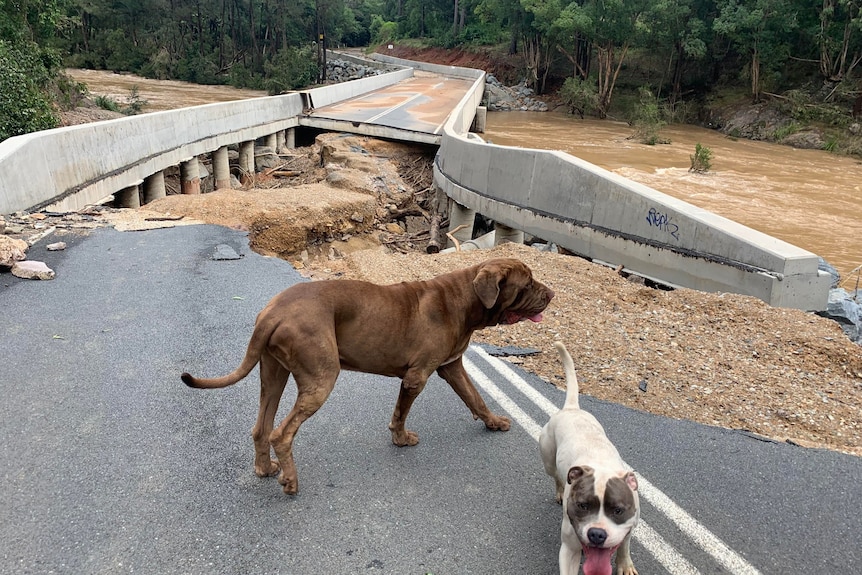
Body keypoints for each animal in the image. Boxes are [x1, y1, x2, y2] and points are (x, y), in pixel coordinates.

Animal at [185, 258, 556, 496]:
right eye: (527, 284)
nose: (552, 293)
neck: (464, 299)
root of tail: (272, 312)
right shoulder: (417, 376)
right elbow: (401, 413)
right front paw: (401, 440)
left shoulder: (452, 367)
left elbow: (475, 397)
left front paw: (493, 422)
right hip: (321, 377)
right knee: (281, 432)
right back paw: (290, 482)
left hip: (273, 373)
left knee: (262, 427)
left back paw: (265, 469)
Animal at [540, 342, 640, 575]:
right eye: (583, 505)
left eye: (618, 510)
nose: (596, 533)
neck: (601, 466)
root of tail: (571, 408)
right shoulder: (569, 549)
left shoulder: (630, 525)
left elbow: (624, 544)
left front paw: (624, 564)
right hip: (548, 459)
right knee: (556, 477)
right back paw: (560, 491)